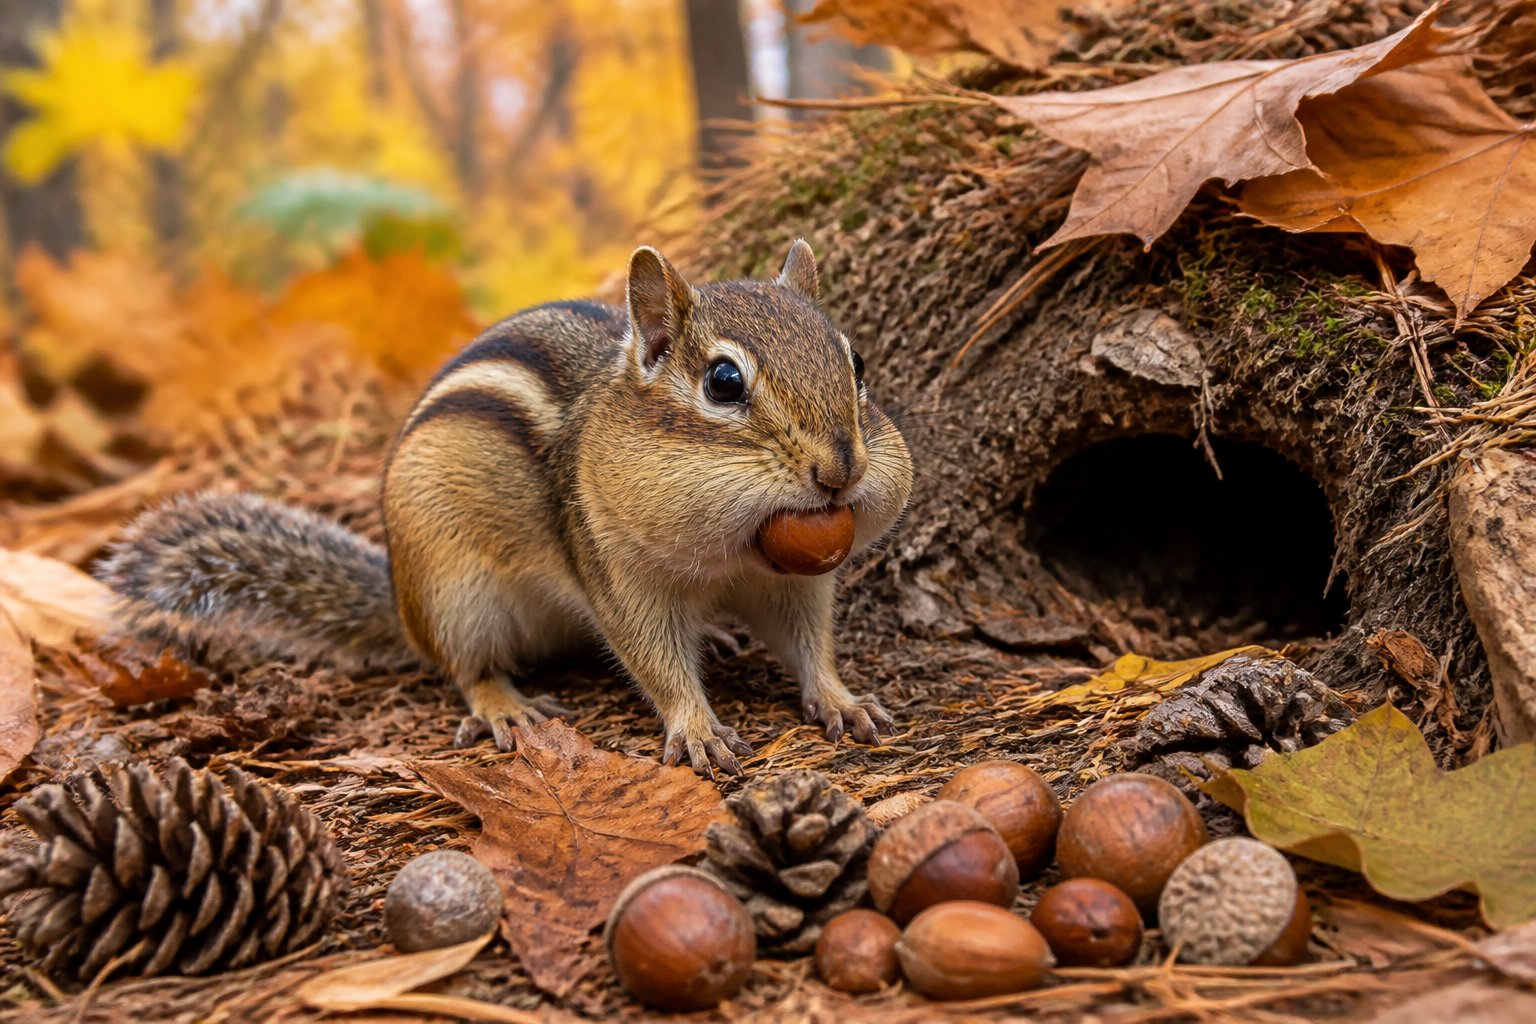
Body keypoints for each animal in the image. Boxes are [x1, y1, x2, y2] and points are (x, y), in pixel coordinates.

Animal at [98, 240, 914, 776]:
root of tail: (400, 605)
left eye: (857, 363)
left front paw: (841, 700)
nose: (841, 469)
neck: (734, 550)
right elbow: (652, 659)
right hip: (456, 592)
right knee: (467, 666)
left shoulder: (788, 582)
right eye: (723, 381)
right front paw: (697, 727)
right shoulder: (616, 572)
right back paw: (504, 705)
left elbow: (809, 642)